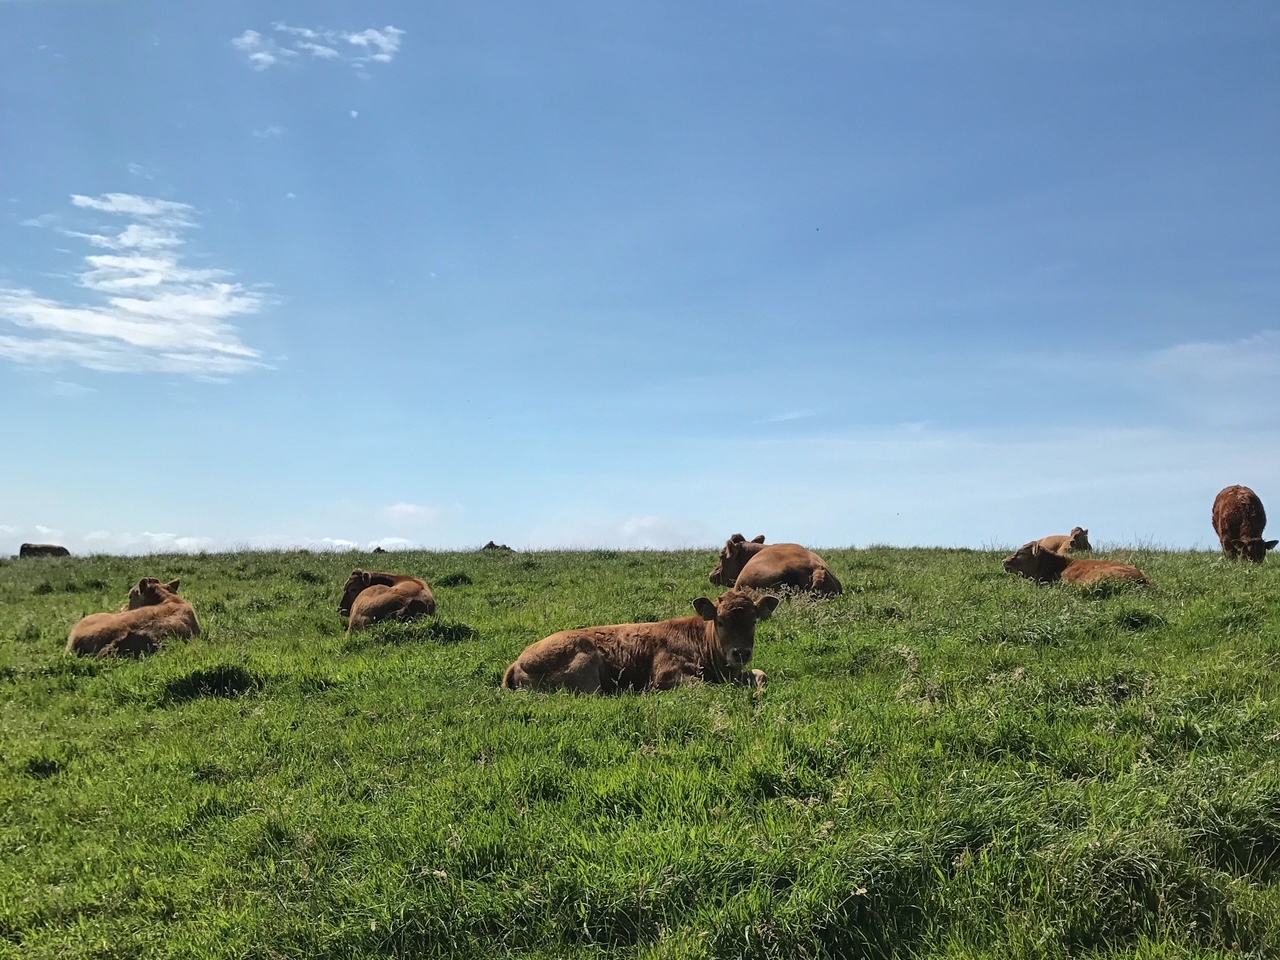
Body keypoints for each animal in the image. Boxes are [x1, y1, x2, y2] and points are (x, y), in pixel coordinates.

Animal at [499, 591, 778, 696]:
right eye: (720, 621)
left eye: (753, 620)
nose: (740, 653)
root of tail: (518, 661)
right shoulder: (665, 675)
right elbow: (705, 688)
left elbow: (761, 674)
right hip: (585, 663)